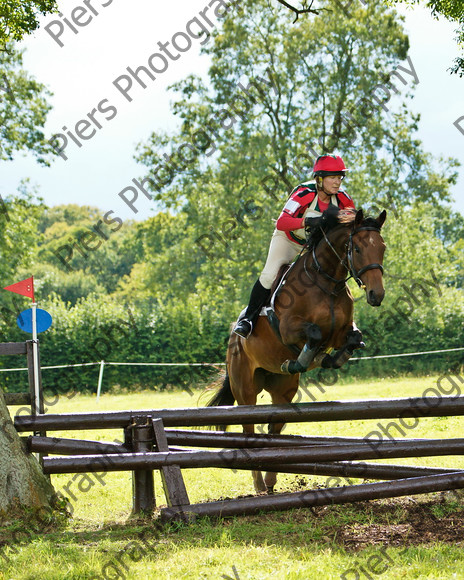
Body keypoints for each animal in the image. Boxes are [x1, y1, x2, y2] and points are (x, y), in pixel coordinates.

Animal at [208, 206, 386, 492]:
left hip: (283, 391)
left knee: (274, 430)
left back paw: (270, 480)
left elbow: (353, 338)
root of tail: (232, 341)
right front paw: (302, 360)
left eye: (382, 247)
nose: (376, 295)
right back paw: (259, 485)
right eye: (357, 248)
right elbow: (313, 334)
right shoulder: (289, 328)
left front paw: (326, 359)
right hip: (245, 389)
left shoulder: (341, 332)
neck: (326, 282)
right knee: (249, 430)